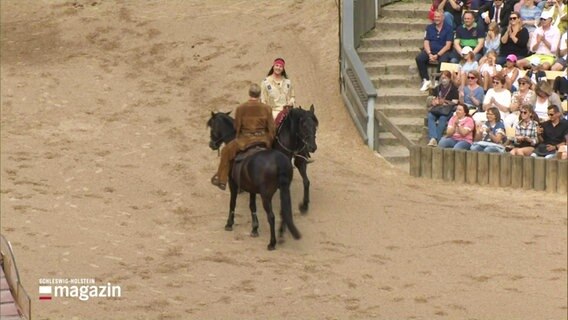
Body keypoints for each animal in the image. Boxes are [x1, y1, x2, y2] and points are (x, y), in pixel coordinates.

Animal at [207, 112, 302, 250]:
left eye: (212, 127)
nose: (211, 144)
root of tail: (279, 162)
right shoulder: (251, 188)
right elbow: (252, 206)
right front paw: (255, 229)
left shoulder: (233, 183)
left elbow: (232, 203)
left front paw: (229, 224)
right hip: (283, 190)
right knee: (284, 212)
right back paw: (281, 236)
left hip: (266, 196)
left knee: (271, 216)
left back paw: (272, 243)